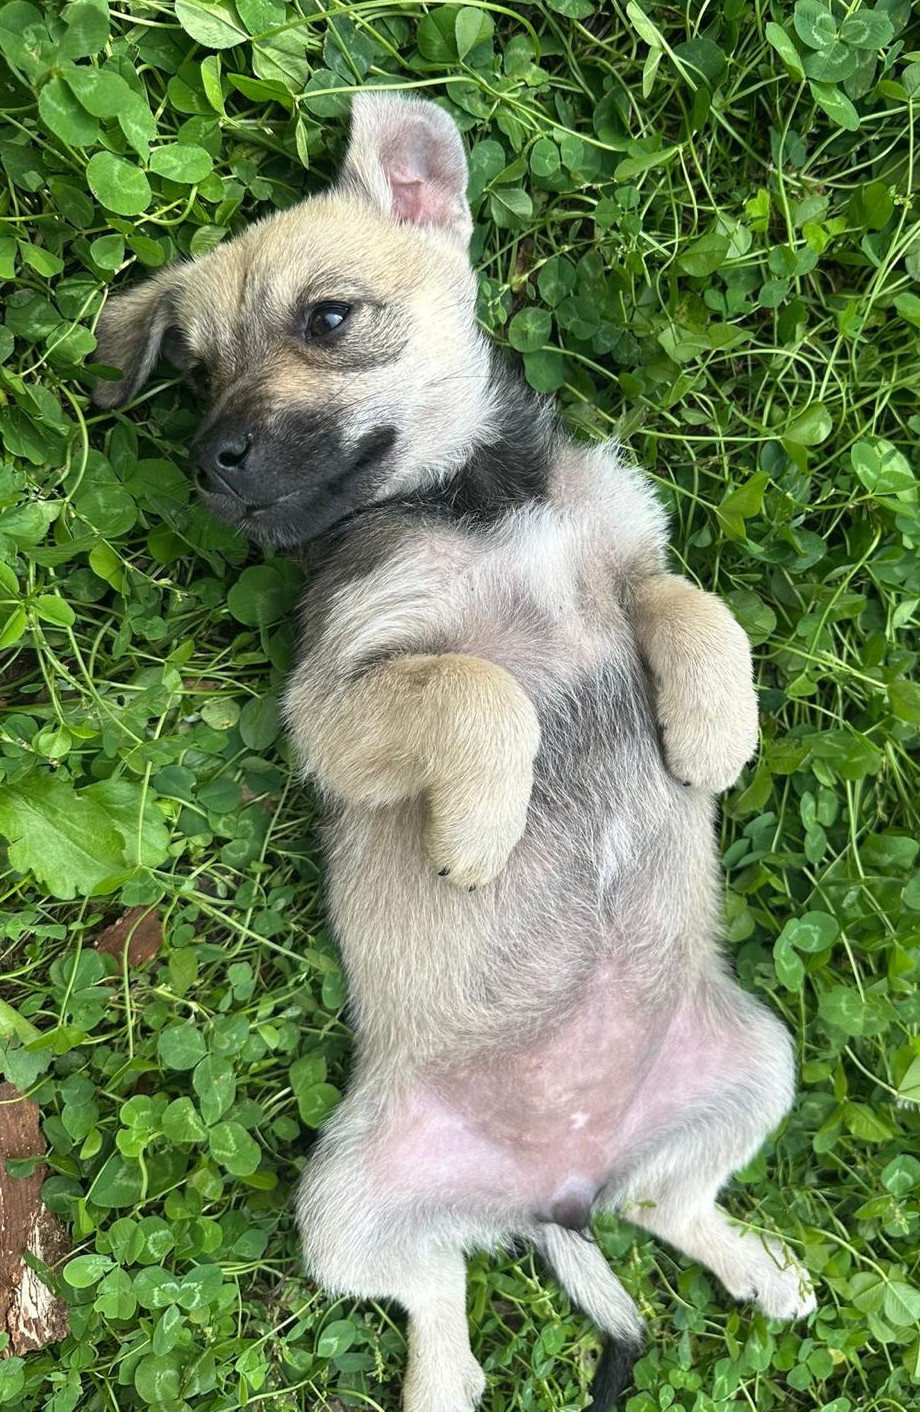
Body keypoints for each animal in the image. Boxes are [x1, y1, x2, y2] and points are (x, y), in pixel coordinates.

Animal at [93, 91, 815, 1412]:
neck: (478, 502)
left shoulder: (624, 554)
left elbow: (688, 601)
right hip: (345, 1205)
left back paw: (759, 1269)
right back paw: (443, 1382)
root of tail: (557, 1183)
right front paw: (482, 825)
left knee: (667, 1202)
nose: (210, 458)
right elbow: (483, 690)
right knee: (444, 1302)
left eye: (327, 319)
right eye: (197, 372)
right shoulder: (341, 698)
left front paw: (711, 730)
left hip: (755, 1064)